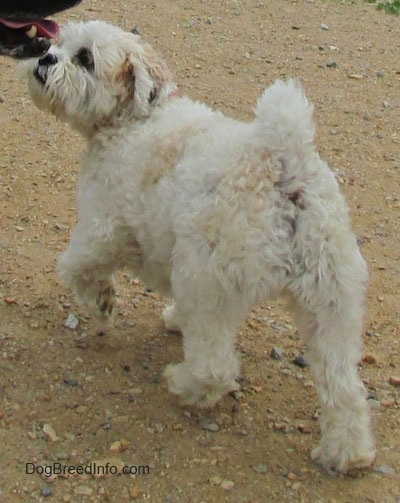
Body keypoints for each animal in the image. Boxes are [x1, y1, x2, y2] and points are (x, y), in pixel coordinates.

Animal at [18, 21, 376, 474]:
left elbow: (75, 266)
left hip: (205, 278)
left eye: (85, 59)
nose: (45, 58)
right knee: (344, 387)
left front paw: (101, 302)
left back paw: (183, 383)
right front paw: (169, 316)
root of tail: (282, 160)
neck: (131, 120)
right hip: (331, 301)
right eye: (57, 43)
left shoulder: (103, 227)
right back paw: (348, 454)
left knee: (215, 369)